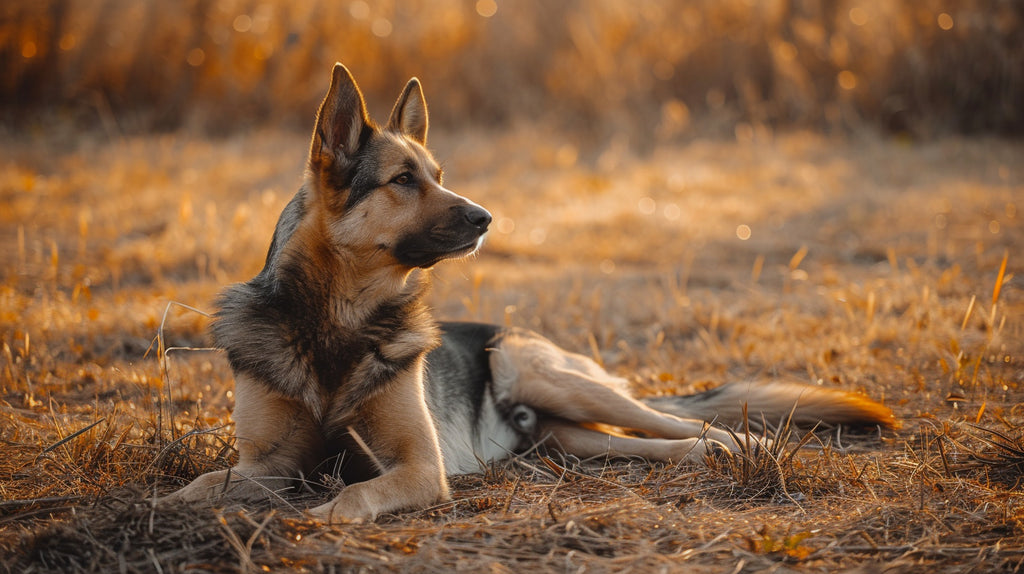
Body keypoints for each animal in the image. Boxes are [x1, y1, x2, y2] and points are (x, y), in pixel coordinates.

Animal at [161, 64, 897, 521]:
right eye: (403, 180)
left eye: (437, 174)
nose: (487, 218)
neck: (338, 320)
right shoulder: (267, 463)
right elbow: (205, 481)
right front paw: (166, 505)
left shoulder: (417, 467)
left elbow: (357, 495)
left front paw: (324, 517)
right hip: (571, 439)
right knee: (654, 443)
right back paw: (706, 456)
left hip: (541, 372)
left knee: (684, 421)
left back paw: (745, 447)